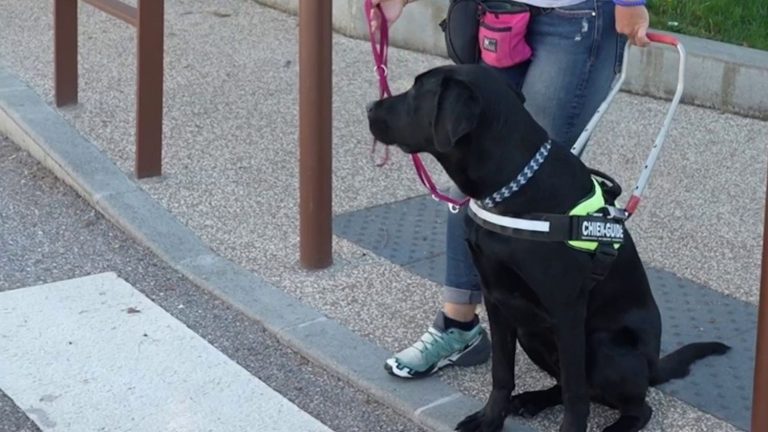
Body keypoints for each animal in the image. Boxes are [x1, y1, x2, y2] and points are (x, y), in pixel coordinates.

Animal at [368, 64, 728, 432]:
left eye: (417, 92)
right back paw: (532, 400)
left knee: (634, 407)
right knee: (572, 385)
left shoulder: (566, 310)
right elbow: (502, 372)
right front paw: (490, 418)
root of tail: (653, 365)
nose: (370, 107)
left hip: (605, 347)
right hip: (531, 332)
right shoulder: (497, 298)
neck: (511, 184)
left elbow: (575, 393)